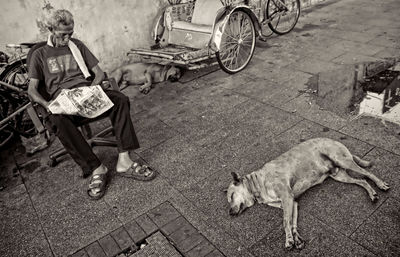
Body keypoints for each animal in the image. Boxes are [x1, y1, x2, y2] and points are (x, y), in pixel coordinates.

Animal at [227, 137, 390, 249]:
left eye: (231, 196)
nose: (229, 213)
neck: (257, 185)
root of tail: (334, 140)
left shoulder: (287, 198)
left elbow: (285, 222)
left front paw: (288, 240)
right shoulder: (292, 202)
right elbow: (292, 222)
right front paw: (296, 239)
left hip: (343, 161)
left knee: (367, 173)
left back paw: (380, 184)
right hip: (339, 175)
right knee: (362, 181)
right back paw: (372, 194)